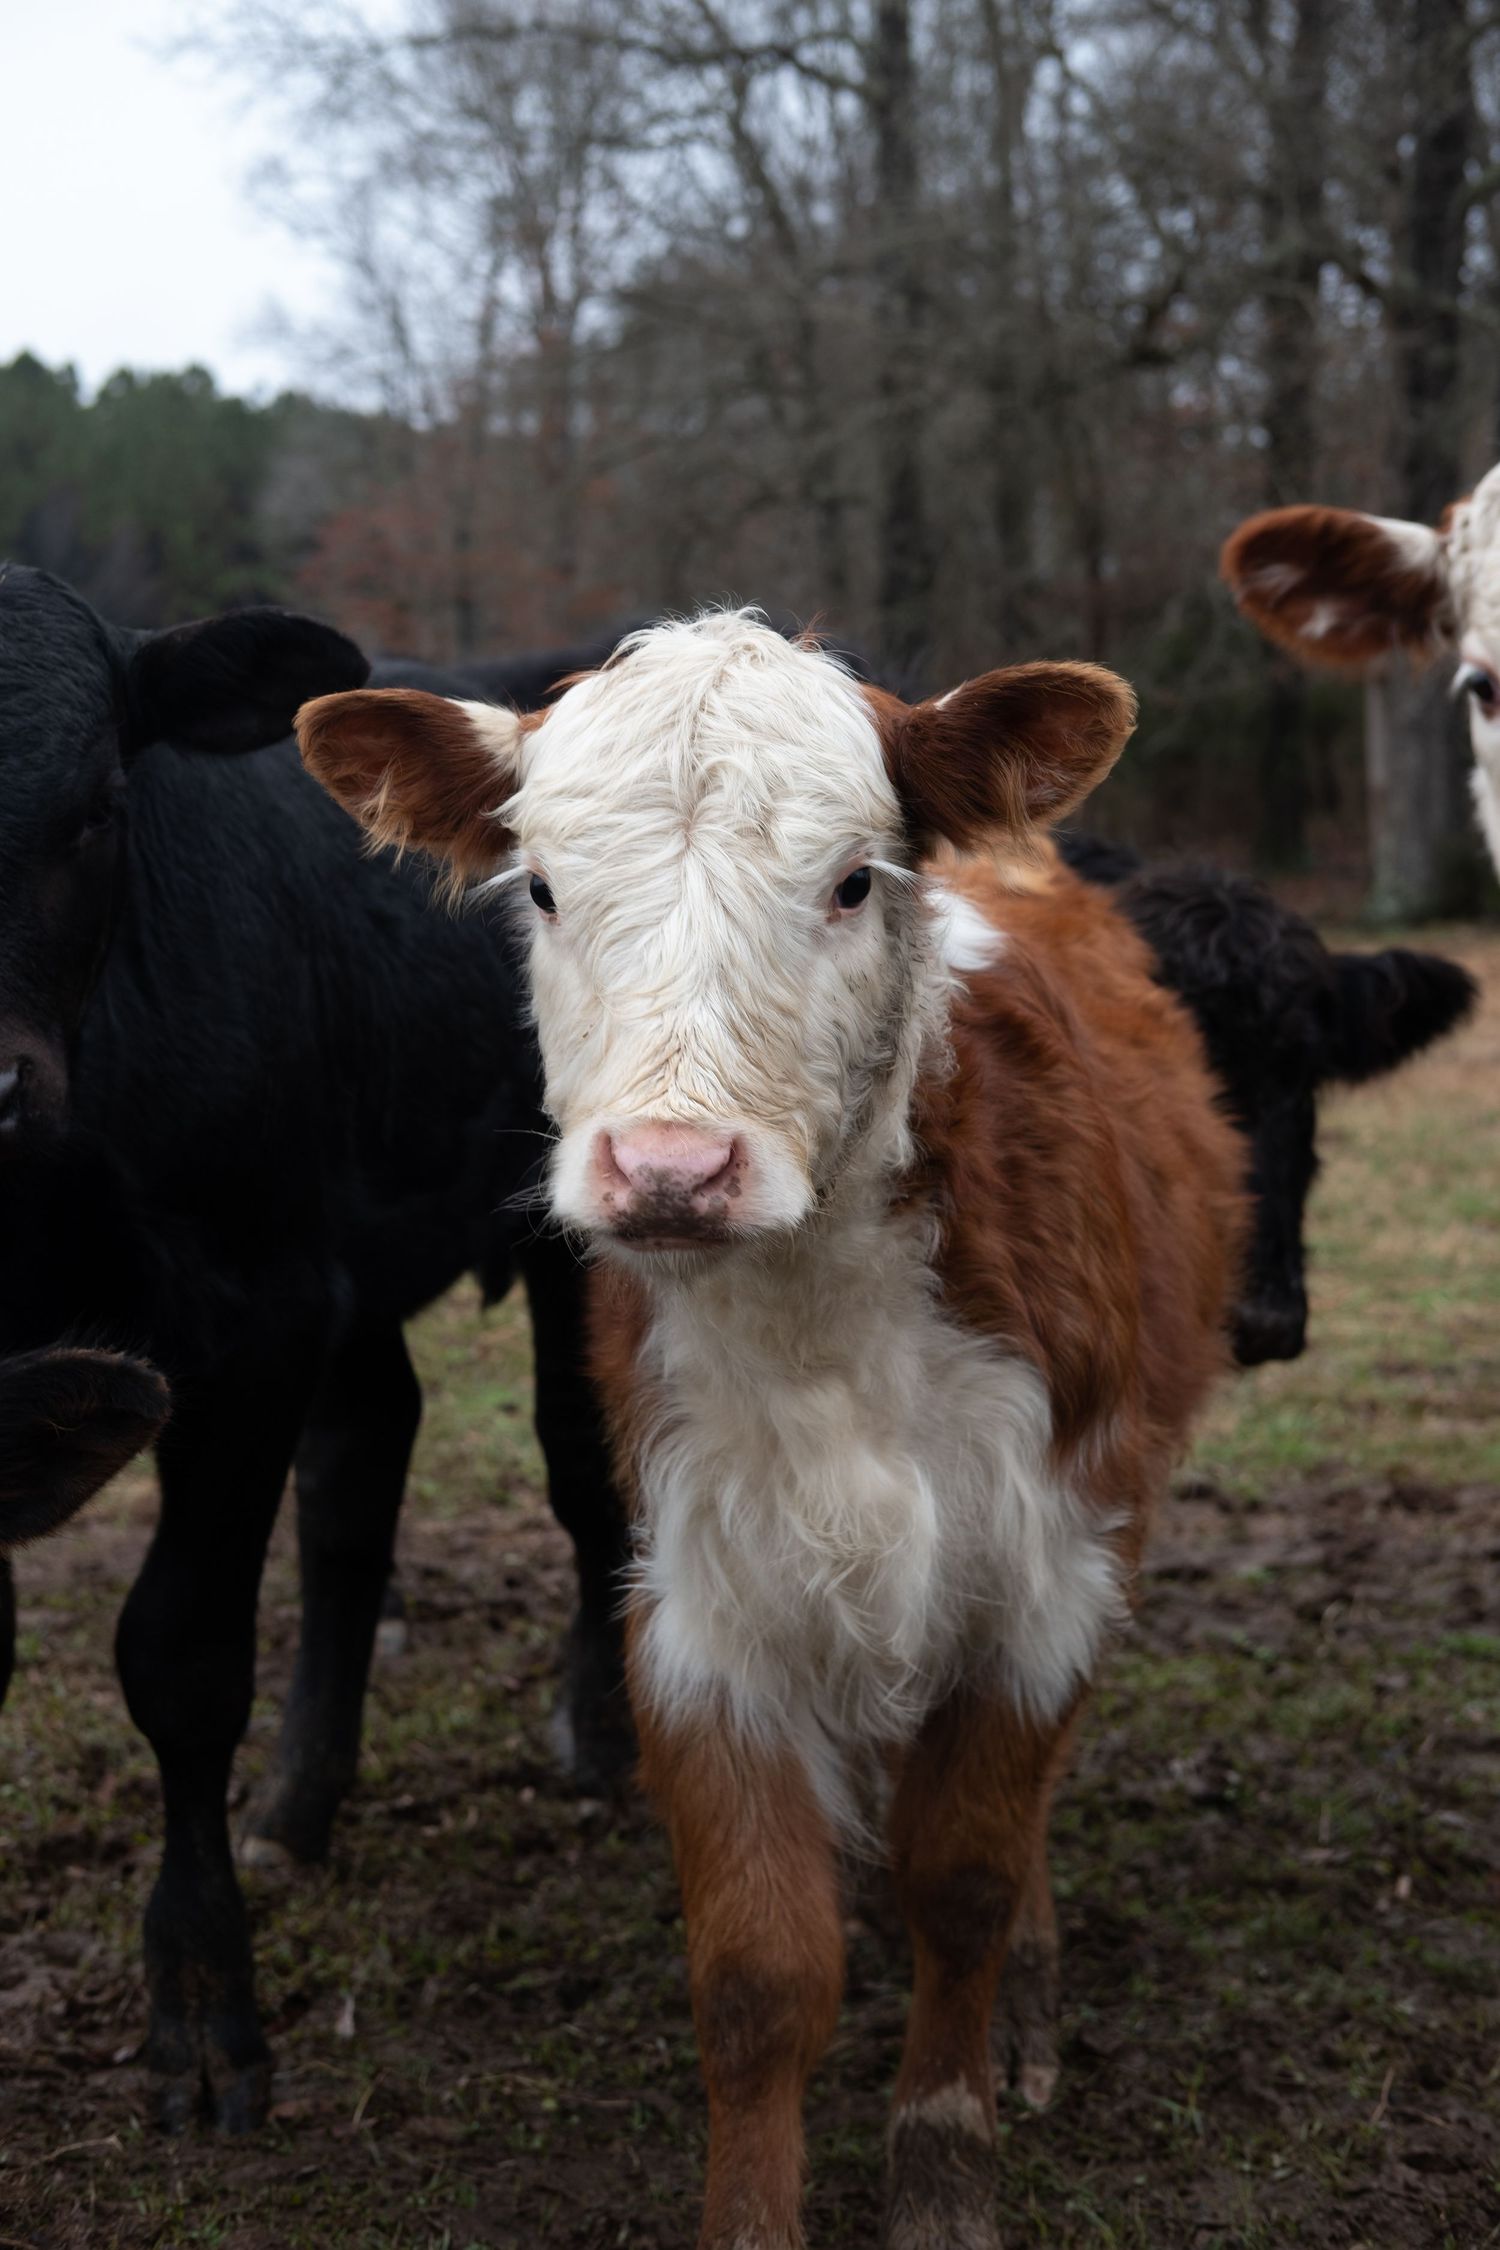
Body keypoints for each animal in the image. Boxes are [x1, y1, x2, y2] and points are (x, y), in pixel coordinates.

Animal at [0, 563, 631, 2133]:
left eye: (97, 802)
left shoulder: (249, 1323)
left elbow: (181, 1656)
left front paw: (201, 2010)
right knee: (363, 1468)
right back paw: (300, 1800)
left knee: (581, 1460)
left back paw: (597, 1728)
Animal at [299, 614, 1246, 2250]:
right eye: (541, 887)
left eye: (854, 879)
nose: (672, 1168)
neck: (822, 1328)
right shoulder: (701, 1607)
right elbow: (759, 1971)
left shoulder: (1044, 1575)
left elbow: (967, 1877)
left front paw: (945, 2165)